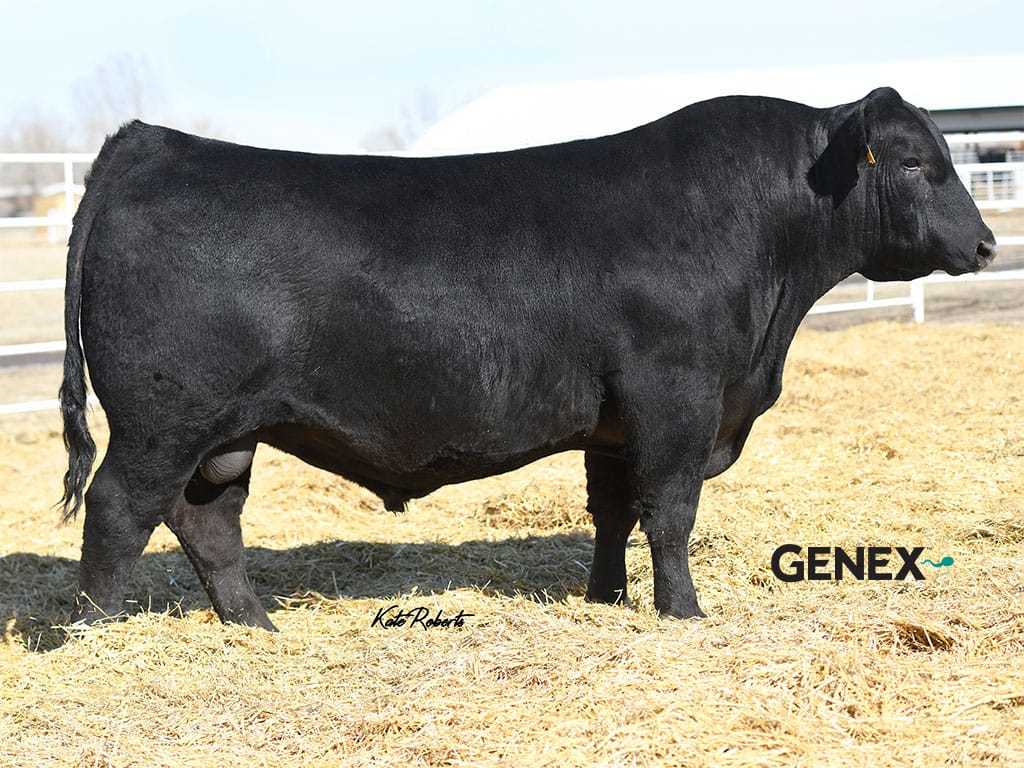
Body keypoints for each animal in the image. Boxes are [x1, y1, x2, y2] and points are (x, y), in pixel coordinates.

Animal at [58, 87, 995, 631]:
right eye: (915, 162)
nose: (987, 244)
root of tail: (152, 141)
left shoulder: (616, 421)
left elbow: (614, 510)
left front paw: (607, 599)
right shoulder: (677, 397)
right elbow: (672, 512)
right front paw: (684, 614)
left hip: (225, 430)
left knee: (207, 520)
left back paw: (254, 626)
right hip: (162, 418)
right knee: (118, 510)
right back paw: (97, 634)